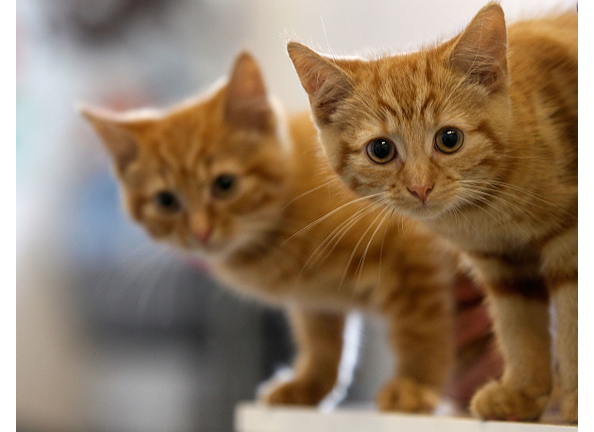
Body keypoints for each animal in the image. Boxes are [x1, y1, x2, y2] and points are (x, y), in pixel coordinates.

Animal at [78, 50, 494, 412]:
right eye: (166, 201)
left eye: (225, 185)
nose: (201, 232)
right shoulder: (317, 299)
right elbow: (322, 343)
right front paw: (309, 386)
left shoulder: (414, 254)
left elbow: (420, 328)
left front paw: (414, 384)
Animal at [286, 1, 572, 424]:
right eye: (381, 150)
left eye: (449, 139)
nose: (420, 187)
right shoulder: (503, 264)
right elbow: (519, 327)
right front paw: (523, 392)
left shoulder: (570, 244)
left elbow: (572, 321)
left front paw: (574, 401)